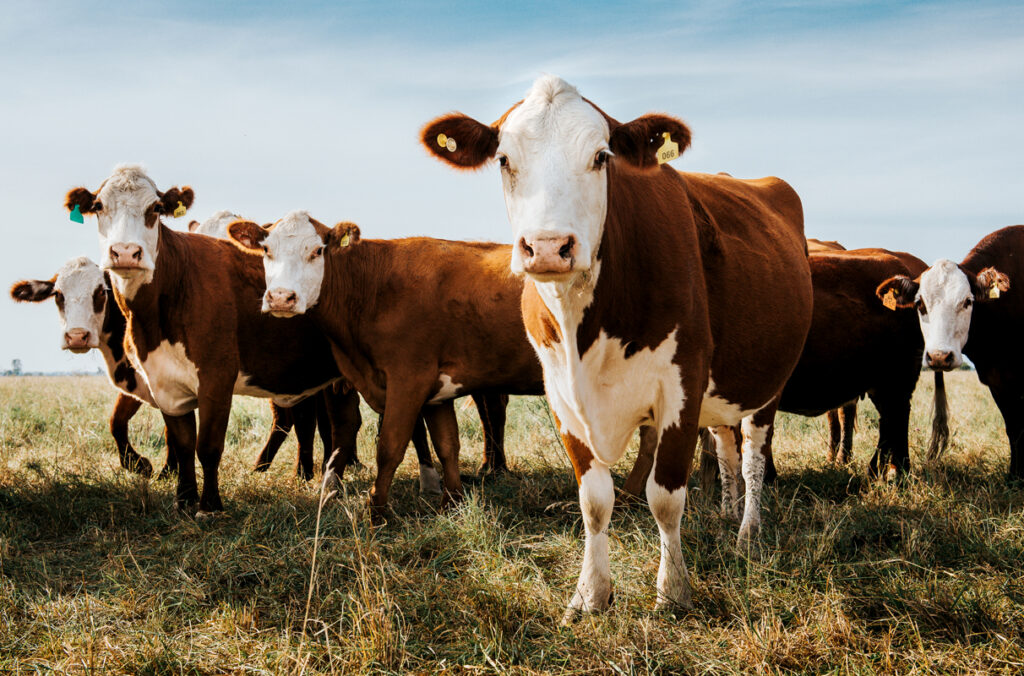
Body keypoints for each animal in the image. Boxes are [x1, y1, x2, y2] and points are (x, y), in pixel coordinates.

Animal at [420, 75, 814, 617]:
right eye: (503, 159)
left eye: (601, 156)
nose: (548, 247)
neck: (585, 328)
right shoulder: (561, 395)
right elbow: (594, 500)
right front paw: (590, 594)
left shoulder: (683, 385)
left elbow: (665, 497)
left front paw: (673, 591)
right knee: (727, 448)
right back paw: (725, 514)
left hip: (768, 382)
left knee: (754, 454)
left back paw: (747, 532)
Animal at [877, 225, 1021, 479]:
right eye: (920, 304)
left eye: (967, 302)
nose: (939, 357)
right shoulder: (1000, 382)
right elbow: (1014, 428)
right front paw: (1014, 476)